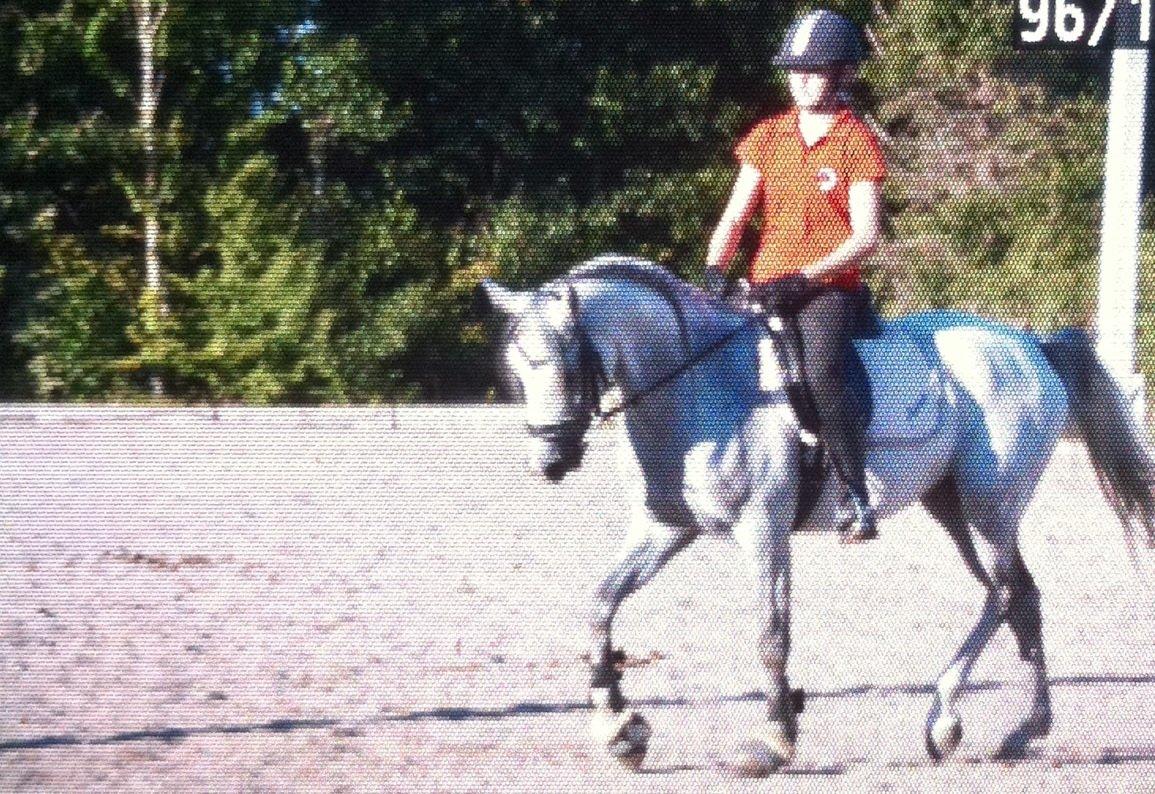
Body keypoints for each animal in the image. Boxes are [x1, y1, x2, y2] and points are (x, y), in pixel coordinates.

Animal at [476, 254, 1155, 776]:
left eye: (567, 363)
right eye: (520, 369)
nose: (549, 460)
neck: (700, 387)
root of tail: (1032, 346)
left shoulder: (763, 532)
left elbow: (771, 635)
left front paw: (773, 740)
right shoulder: (666, 529)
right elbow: (600, 603)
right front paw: (618, 724)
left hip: (989, 509)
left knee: (1012, 593)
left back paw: (976, 721)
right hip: (953, 507)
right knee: (1014, 596)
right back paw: (997, 725)